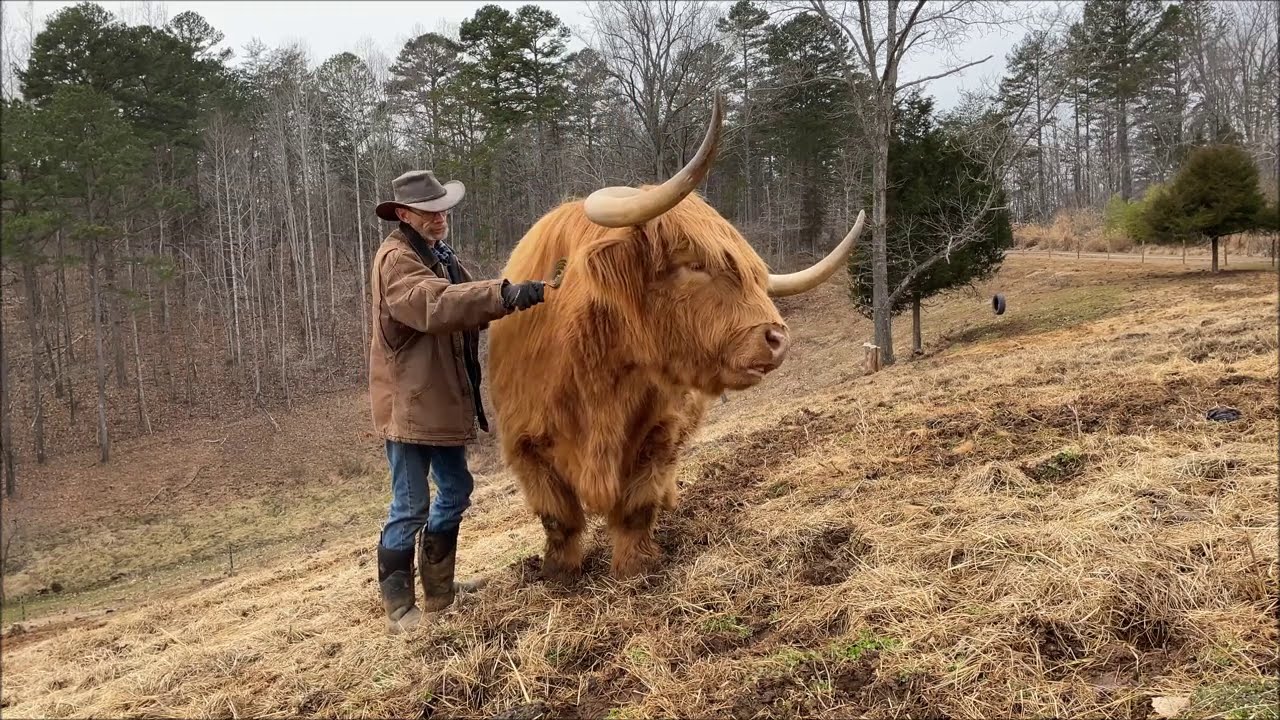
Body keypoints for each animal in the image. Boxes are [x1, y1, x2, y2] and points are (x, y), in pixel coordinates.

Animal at [485, 93, 866, 583]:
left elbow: (637, 505)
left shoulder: (661, 431)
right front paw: (558, 574)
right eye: (693, 263)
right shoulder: (526, 444)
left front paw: (637, 568)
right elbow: (558, 516)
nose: (778, 338)